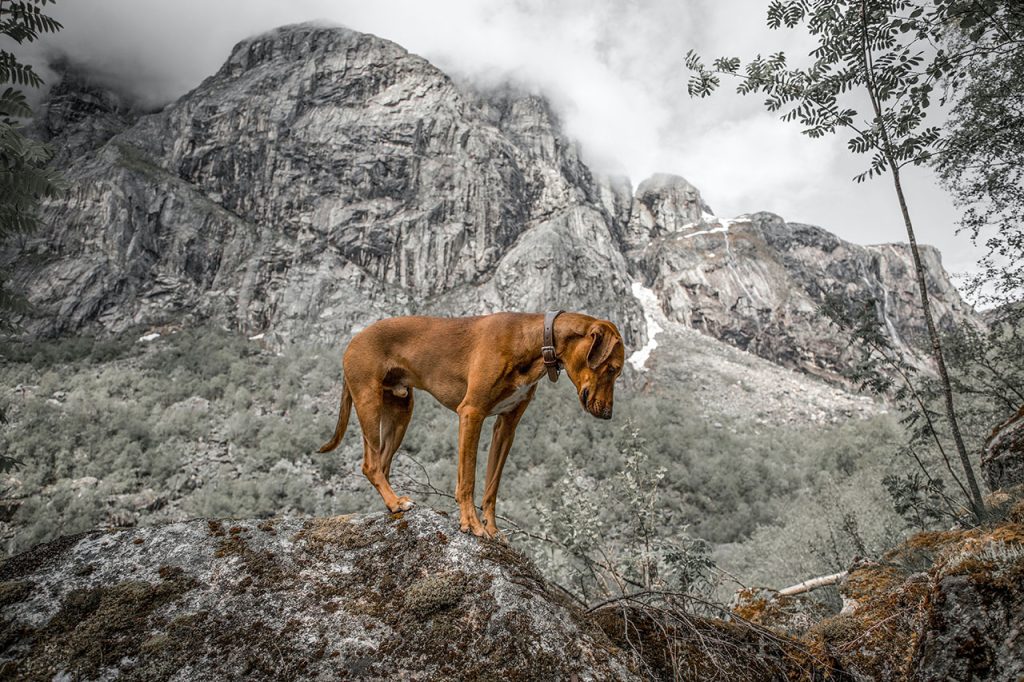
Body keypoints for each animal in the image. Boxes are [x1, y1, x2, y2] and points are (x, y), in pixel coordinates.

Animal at [317, 309, 622, 536]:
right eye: (613, 368)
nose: (608, 414)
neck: (532, 339)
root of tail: (352, 341)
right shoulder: (471, 413)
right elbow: (468, 480)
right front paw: (471, 524)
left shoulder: (506, 426)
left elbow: (491, 486)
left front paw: (493, 530)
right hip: (369, 402)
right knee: (370, 465)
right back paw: (394, 502)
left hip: (401, 410)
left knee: (382, 463)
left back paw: (393, 504)